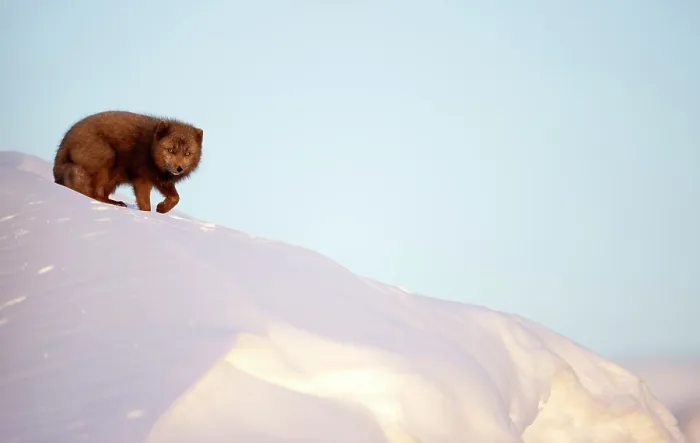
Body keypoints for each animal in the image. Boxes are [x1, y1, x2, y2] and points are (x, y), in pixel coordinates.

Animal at [52, 110, 203, 213]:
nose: (179, 168)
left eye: (188, 153)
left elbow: (175, 198)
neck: (150, 147)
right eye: (171, 150)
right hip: (107, 157)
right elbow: (146, 205)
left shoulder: (158, 178)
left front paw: (161, 208)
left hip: (114, 175)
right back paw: (114, 203)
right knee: (96, 194)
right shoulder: (142, 178)